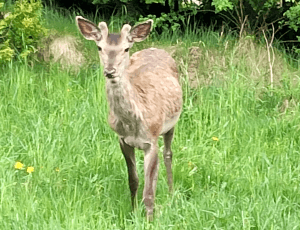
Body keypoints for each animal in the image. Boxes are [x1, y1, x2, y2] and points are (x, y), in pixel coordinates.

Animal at [76, 16, 182, 219]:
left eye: (126, 48)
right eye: (99, 47)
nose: (110, 71)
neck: (133, 122)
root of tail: (155, 48)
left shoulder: (152, 139)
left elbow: (149, 191)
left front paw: (149, 219)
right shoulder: (123, 140)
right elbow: (133, 180)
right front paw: (133, 212)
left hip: (171, 124)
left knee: (168, 154)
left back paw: (172, 193)